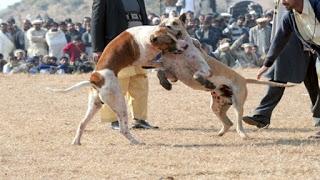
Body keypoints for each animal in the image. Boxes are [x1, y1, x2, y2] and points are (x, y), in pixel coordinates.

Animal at [47, 25, 188, 145]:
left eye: (177, 35)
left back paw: (76, 142)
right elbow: (162, 64)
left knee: (82, 123)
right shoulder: (144, 61)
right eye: (169, 41)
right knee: (123, 129)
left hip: (95, 105)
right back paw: (136, 141)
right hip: (119, 104)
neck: (147, 35)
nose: (186, 45)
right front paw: (168, 76)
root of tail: (95, 80)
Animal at [156, 14, 294, 139]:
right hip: (217, 106)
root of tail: (243, 79)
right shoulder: (173, 74)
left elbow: (196, 75)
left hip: (238, 103)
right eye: (163, 23)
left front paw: (206, 83)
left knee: (238, 123)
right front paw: (165, 84)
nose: (166, 26)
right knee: (228, 123)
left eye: (175, 22)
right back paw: (220, 133)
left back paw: (243, 135)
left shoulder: (205, 69)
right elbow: (160, 72)